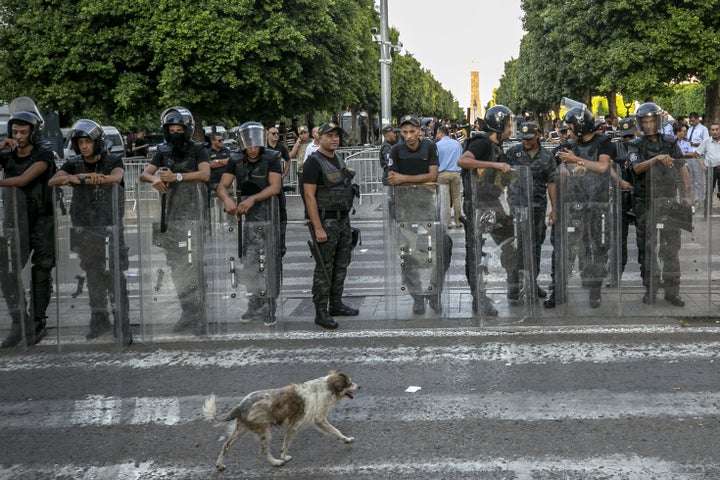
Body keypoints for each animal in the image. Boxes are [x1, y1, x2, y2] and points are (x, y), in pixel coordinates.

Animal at [202, 372, 360, 468]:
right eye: (350, 383)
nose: (359, 386)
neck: (326, 388)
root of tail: (240, 406)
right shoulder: (301, 425)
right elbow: (287, 444)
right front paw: (283, 457)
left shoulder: (316, 422)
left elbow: (336, 432)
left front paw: (346, 440)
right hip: (266, 432)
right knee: (263, 452)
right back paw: (277, 462)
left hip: (241, 429)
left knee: (226, 446)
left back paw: (219, 465)